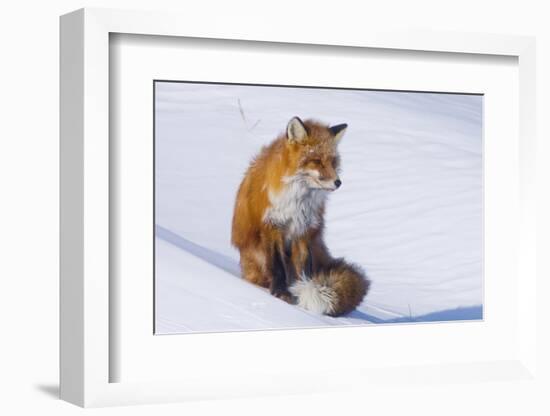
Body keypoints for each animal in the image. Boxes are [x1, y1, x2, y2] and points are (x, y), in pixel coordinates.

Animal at [231, 117, 368, 316]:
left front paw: (303, 290)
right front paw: (281, 293)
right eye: (316, 161)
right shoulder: (273, 226)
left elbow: (304, 270)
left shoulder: (303, 230)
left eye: (333, 161)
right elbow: (277, 266)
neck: (297, 201)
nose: (338, 182)